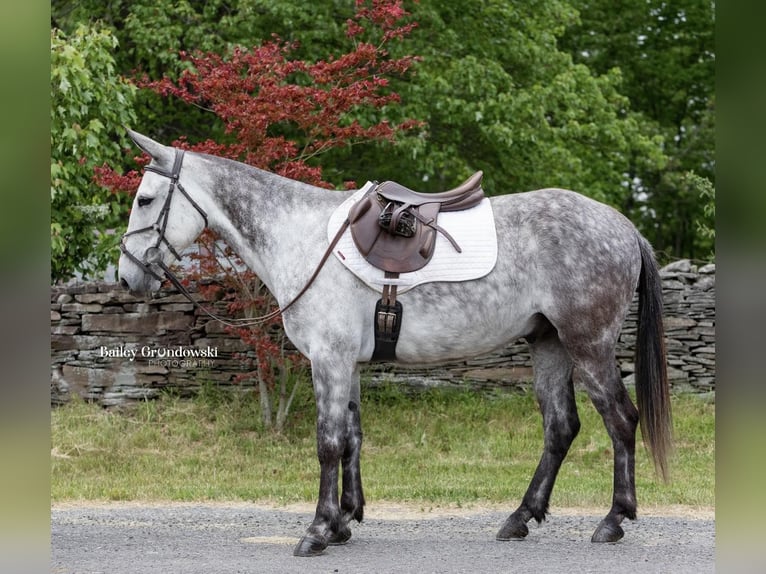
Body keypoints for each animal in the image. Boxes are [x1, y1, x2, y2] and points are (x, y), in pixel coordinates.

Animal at [117, 130, 676, 560]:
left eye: (145, 200)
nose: (126, 277)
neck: (302, 237)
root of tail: (623, 227)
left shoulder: (329, 359)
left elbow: (328, 442)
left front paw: (317, 531)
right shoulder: (346, 363)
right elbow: (352, 438)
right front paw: (343, 522)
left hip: (588, 346)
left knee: (621, 420)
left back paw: (613, 520)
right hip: (549, 345)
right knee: (560, 427)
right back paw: (519, 517)